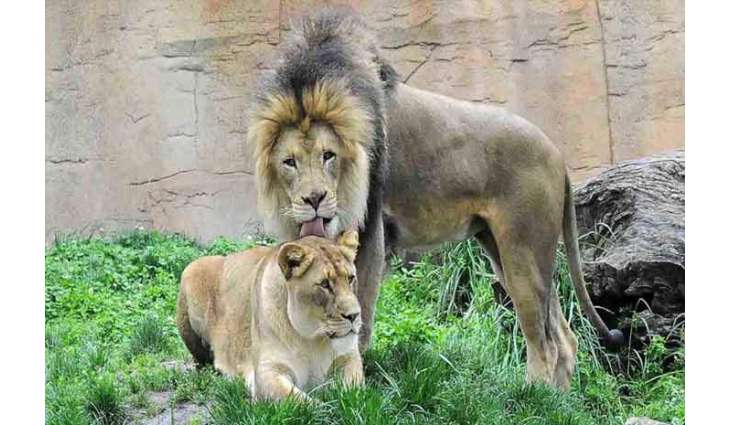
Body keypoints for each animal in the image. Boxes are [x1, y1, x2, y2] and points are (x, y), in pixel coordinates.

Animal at [176, 231, 364, 400]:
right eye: (324, 284)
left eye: (351, 278)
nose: (354, 315)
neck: (312, 338)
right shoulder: (267, 372)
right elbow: (303, 403)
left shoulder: (350, 359)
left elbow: (353, 393)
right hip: (192, 270)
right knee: (201, 361)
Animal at [246, 8, 623, 390]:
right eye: (289, 162)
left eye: (328, 155)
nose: (314, 198)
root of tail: (558, 155)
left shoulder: (371, 231)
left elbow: (359, 313)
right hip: (506, 250)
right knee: (565, 339)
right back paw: (561, 399)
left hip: (523, 251)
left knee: (544, 343)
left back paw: (533, 397)